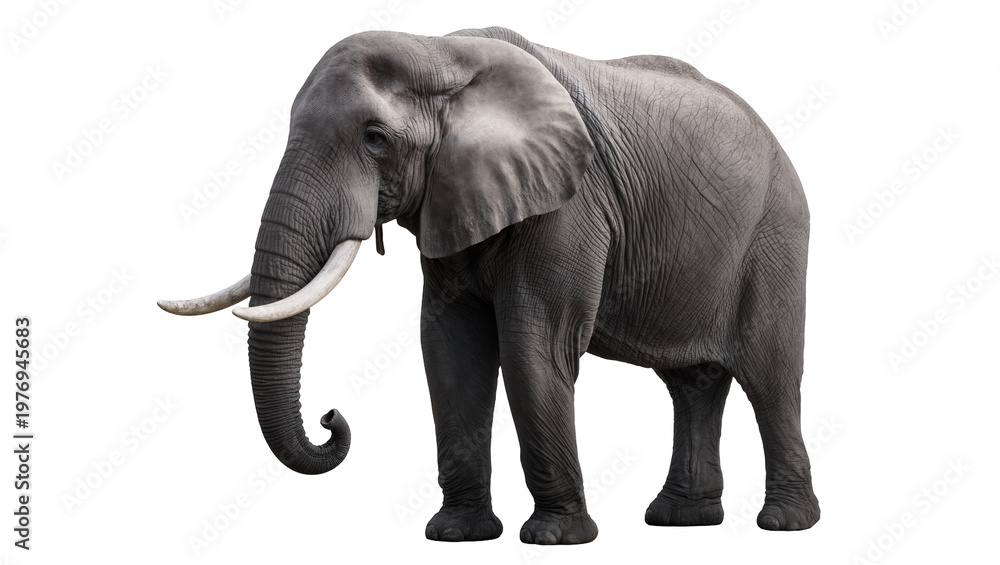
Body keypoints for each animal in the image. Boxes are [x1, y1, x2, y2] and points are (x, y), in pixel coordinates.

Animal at [159, 26, 818, 544]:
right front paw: (457, 534)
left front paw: (555, 537)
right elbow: (450, 349)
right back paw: (680, 520)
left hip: (776, 233)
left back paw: (784, 524)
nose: (330, 419)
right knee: (692, 384)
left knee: (770, 375)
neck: (439, 51)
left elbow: (534, 346)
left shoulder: (568, 205)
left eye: (374, 137)